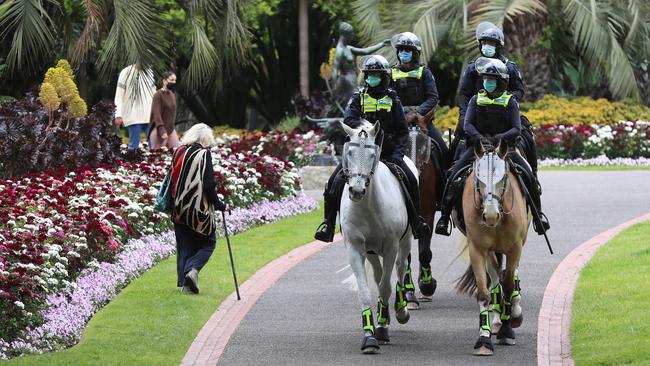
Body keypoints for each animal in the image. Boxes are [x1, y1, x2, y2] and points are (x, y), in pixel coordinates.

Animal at [336, 121, 412, 354]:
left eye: (371, 154)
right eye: (349, 152)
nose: (356, 190)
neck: (368, 204)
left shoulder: (391, 246)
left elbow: (387, 287)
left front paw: (382, 328)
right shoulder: (355, 248)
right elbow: (365, 291)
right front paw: (369, 336)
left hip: (405, 241)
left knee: (400, 267)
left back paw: (400, 310)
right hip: (370, 250)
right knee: (379, 276)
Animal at [454, 139, 528, 356]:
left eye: (502, 178)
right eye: (478, 179)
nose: (491, 215)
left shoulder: (515, 247)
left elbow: (509, 284)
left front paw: (507, 329)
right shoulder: (478, 249)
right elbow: (484, 293)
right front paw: (484, 339)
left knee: (510, 275)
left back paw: (513, 311)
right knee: (495, 276)